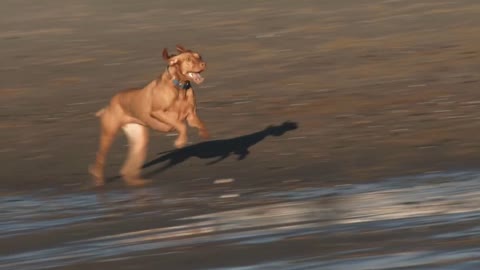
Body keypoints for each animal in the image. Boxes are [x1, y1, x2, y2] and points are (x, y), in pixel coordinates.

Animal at [90, 45, 210, 187]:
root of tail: (110, 103)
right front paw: (180, 141)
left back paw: (136, 182)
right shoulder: (157, 112)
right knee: (100, 158)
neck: (179, 87)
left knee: (126, 168)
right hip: (109, 134)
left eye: (199, 56)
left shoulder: (191, 116)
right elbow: (181, 125)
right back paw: (98, 179)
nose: (204, 64)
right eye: (188, 60)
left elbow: (199, 123)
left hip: (139, 141)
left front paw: (204, 134)